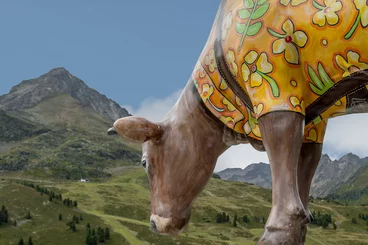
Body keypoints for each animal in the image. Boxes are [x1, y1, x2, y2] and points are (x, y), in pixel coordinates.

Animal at [107, 0, 368, 244]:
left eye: (144, 162)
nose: (155, 223)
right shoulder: (313, 123)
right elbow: (304, 175)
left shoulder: (276, 89)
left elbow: (285, 181)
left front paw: (275, 234)